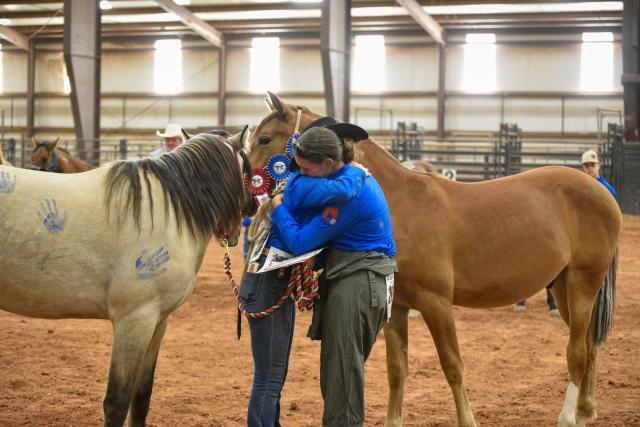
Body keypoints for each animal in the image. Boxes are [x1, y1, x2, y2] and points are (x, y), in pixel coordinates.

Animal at [0, 132, 255, 426]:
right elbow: (117, 401)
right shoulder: (134, 320)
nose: (254, 206)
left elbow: (142, 395)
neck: (170, 212)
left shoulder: (158, 322)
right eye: (246, 167)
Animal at [245, 92, 620, 427]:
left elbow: (453, 366)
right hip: (563, 287)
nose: (248, 197)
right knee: (588, 346)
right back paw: (586, 411)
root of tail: (600, 191)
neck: (397, 203)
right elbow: (397, 371)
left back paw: (569, 417)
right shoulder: (396, 307)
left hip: (583, 284)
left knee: (577, 352)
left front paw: (468, 421)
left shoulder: (436, 302)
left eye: (265, 138)